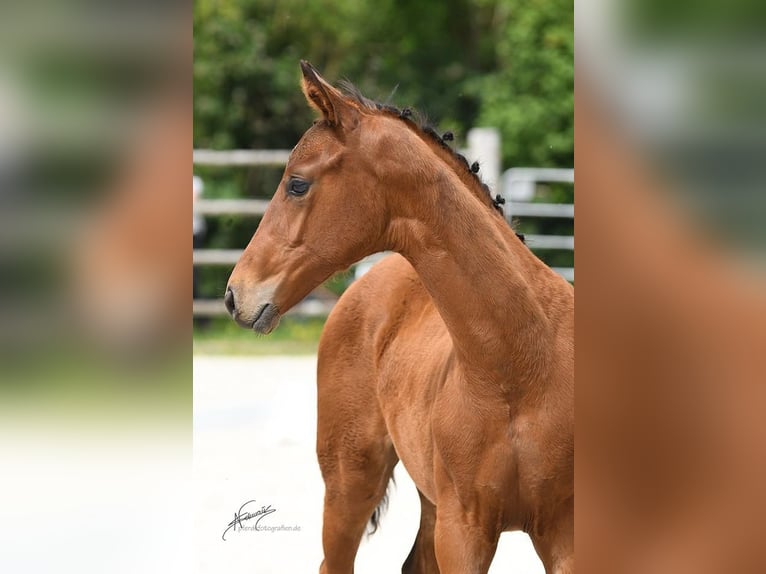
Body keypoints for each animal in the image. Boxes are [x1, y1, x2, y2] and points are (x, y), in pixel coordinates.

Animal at [226, 61, 574, 574]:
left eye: (297, 184)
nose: (235, 295)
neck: (520, 371)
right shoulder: (463, 530)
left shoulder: (564, 534)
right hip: (350, 481)